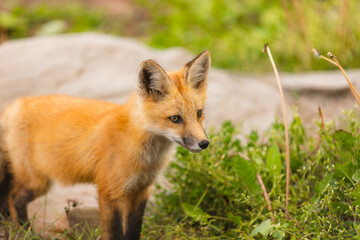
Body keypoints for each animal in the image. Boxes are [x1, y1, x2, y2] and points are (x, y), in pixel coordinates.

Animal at [0, 51, 211, 240]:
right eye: (175, 119)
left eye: (199, 113)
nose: (204, 143)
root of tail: (13, 106)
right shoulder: (109, 192)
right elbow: (114, 233)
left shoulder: (140, 191)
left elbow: (133, 231)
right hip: (36, 182)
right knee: (13, 198)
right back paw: (26, 233)